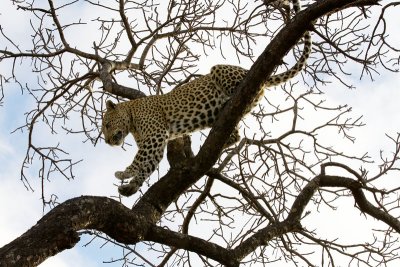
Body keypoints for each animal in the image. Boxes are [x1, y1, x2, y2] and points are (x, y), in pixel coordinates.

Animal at [101, 0, 310, 198]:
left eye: (107, 125)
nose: (107, 141)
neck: (131, 119)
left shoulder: (155, 136)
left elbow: (141, 159)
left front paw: (124, 173)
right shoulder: (155, 142)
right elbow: (147, 165)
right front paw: (131, 186)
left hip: (220, 70)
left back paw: (228, 100)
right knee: (236, 135)